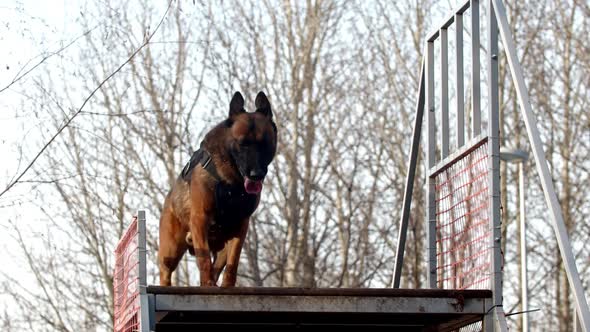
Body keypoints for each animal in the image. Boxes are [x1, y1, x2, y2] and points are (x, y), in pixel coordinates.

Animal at [157, 91, 278, 288]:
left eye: (264, 144)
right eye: (243, 143)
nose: (256, 174)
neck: (232, 184)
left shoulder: (240, 227)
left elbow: (233, 263)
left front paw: (226, 285)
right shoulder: (200, 219)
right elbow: (204, 260)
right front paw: (207, 283)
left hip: (222, 246)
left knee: (218, 264)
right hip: (171, 251)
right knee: (166, 272)